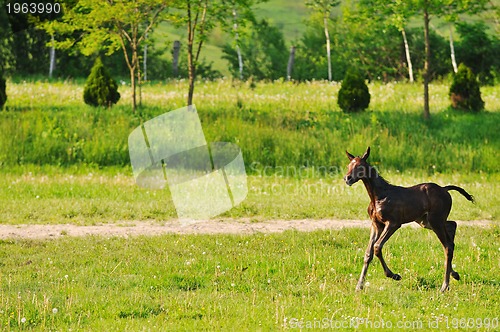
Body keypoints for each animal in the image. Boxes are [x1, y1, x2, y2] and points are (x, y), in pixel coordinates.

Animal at [344, 147, 472, 292]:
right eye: (349, 166)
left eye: (360, 166)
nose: (347, 178)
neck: (378, 196)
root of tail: (445, 189)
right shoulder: (376, 224)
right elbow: (368, 253)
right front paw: (359, 285)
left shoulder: (393, 223)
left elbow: (377, 247)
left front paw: (394, 275)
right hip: (426, 221)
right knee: (452, 226)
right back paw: (454, 274)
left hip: (435, 220)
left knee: (448, 246)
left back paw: (445, 286)